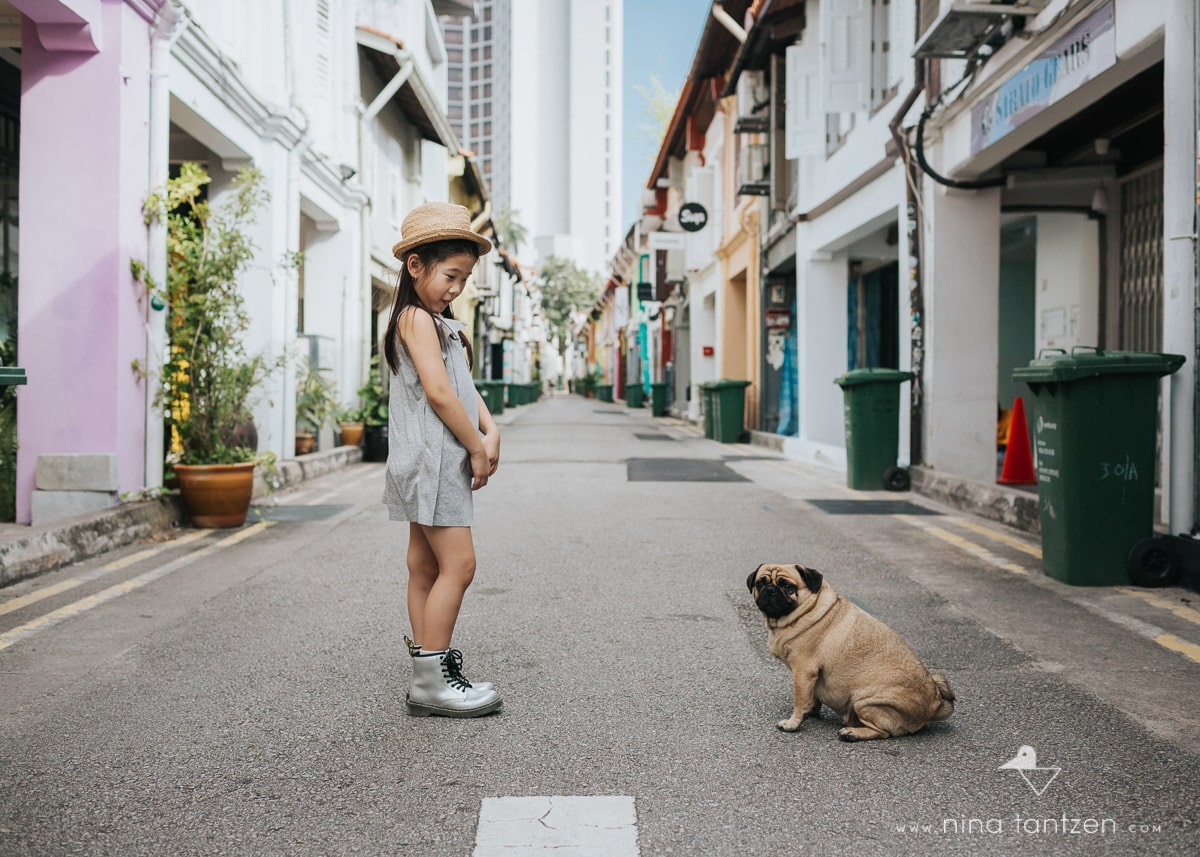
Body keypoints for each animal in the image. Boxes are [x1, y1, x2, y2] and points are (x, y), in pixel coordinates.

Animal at [748, 564, 955, 739]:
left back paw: (852, 733)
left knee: (883, 732)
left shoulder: (803, 672)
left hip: (863, 701)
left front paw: (793, 723)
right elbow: (812, 697)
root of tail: (935, 704)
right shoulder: (811, 678)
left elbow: (799, 701)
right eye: (761, 583)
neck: (807, 610)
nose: (770, 589)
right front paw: (810, 711)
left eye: (787, 586)